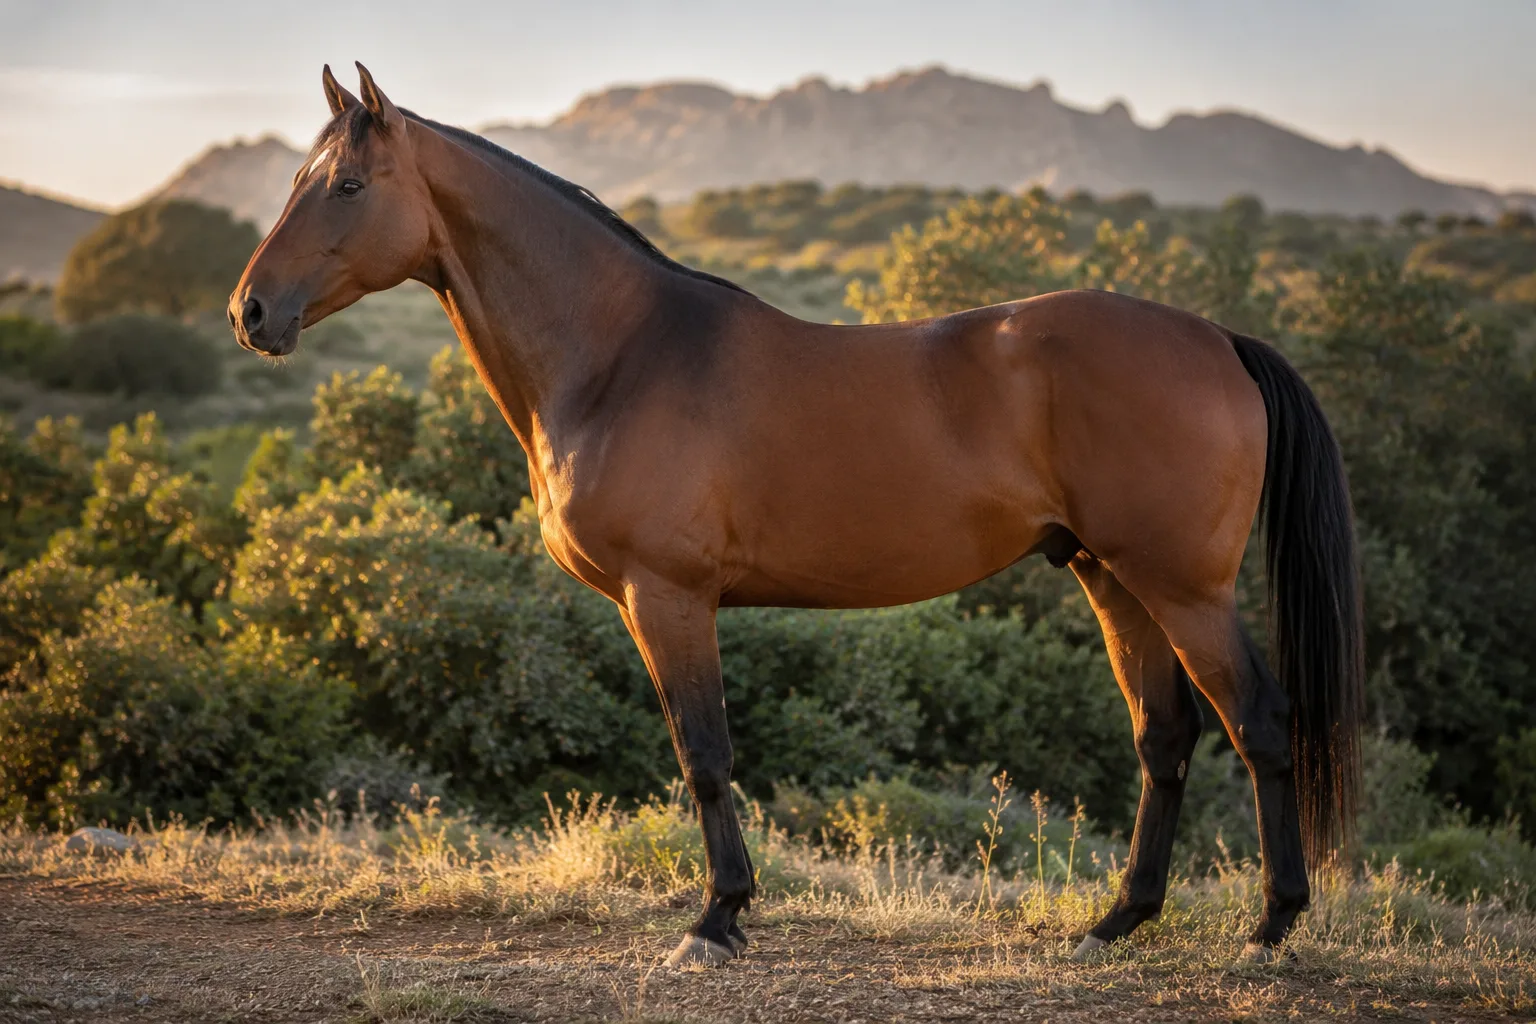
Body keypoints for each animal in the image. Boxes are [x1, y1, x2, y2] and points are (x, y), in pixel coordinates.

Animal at [229, 64, 1364, 968]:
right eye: (293, 181)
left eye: (346, 186)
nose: (251, 312)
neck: (621, 354)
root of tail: (1217, 339)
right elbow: (703, 753)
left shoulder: (668, 597)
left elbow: (704, 754)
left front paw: (717, 919)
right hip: (1109, 575)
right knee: (1163, 736)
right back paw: (1116, 922)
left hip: (1183, 586)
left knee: (1258, 724)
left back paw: (1270, 928)